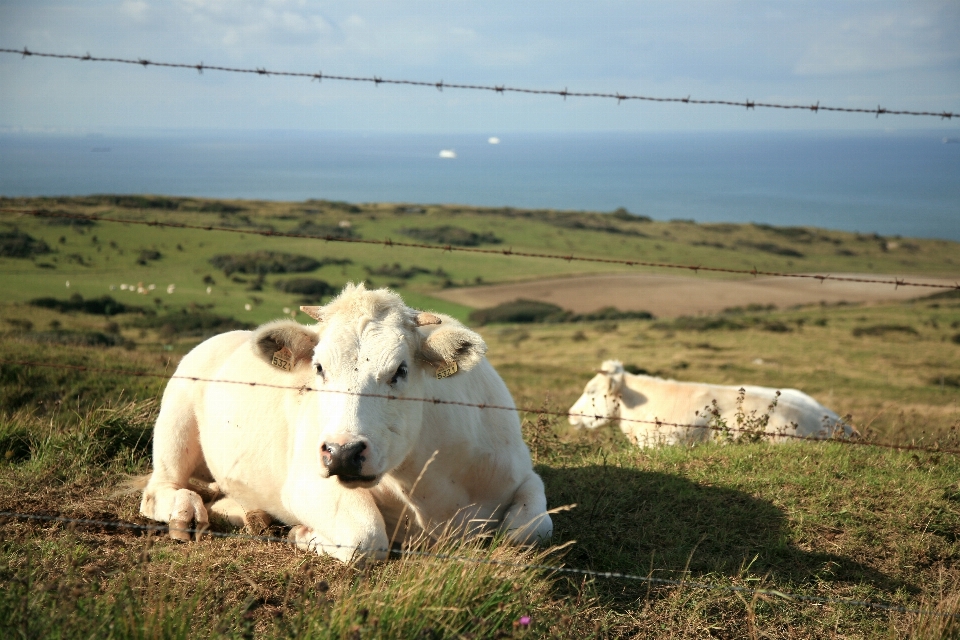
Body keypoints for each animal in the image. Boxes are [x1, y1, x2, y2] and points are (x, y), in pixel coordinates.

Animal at [139, 284, 552, 560]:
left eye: (400, 370)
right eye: (319, 367)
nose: (343, 452)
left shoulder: (521, 473)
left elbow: (529, 530)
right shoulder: (305, 482)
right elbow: (365, 537)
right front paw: (305, 534)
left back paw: (249, 514)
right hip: (175, 419)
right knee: (159, 489)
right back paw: (186, 510)